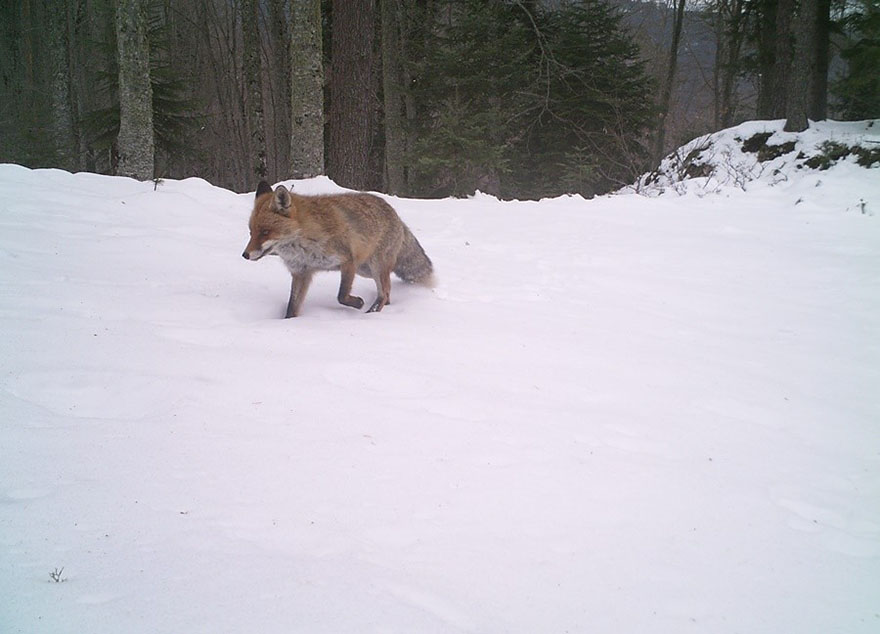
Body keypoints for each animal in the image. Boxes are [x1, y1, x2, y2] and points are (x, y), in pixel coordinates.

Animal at [241, 180, 434, 316]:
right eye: (251, 232)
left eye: (265, 232)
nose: (245, 255)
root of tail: (396, 214)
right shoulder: (301, 273)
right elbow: (292, 308)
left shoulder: (347, 260)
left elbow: (341, 296)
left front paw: (358, 303)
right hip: (365, 270)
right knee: (387, 291)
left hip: (375, 266)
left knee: (384, 292)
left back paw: (371, 314)